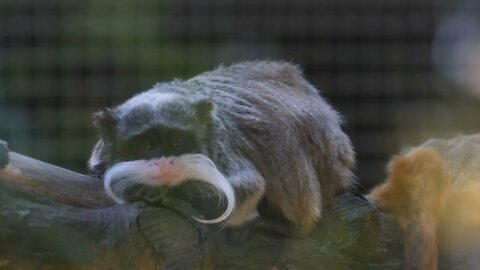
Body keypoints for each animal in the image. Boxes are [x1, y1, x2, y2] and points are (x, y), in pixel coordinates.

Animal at [88, 60, 354, 234]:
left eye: (176, 142)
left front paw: (168, 193)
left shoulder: (221, 146)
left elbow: (248, 187)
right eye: (147, 145)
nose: (165, 164)